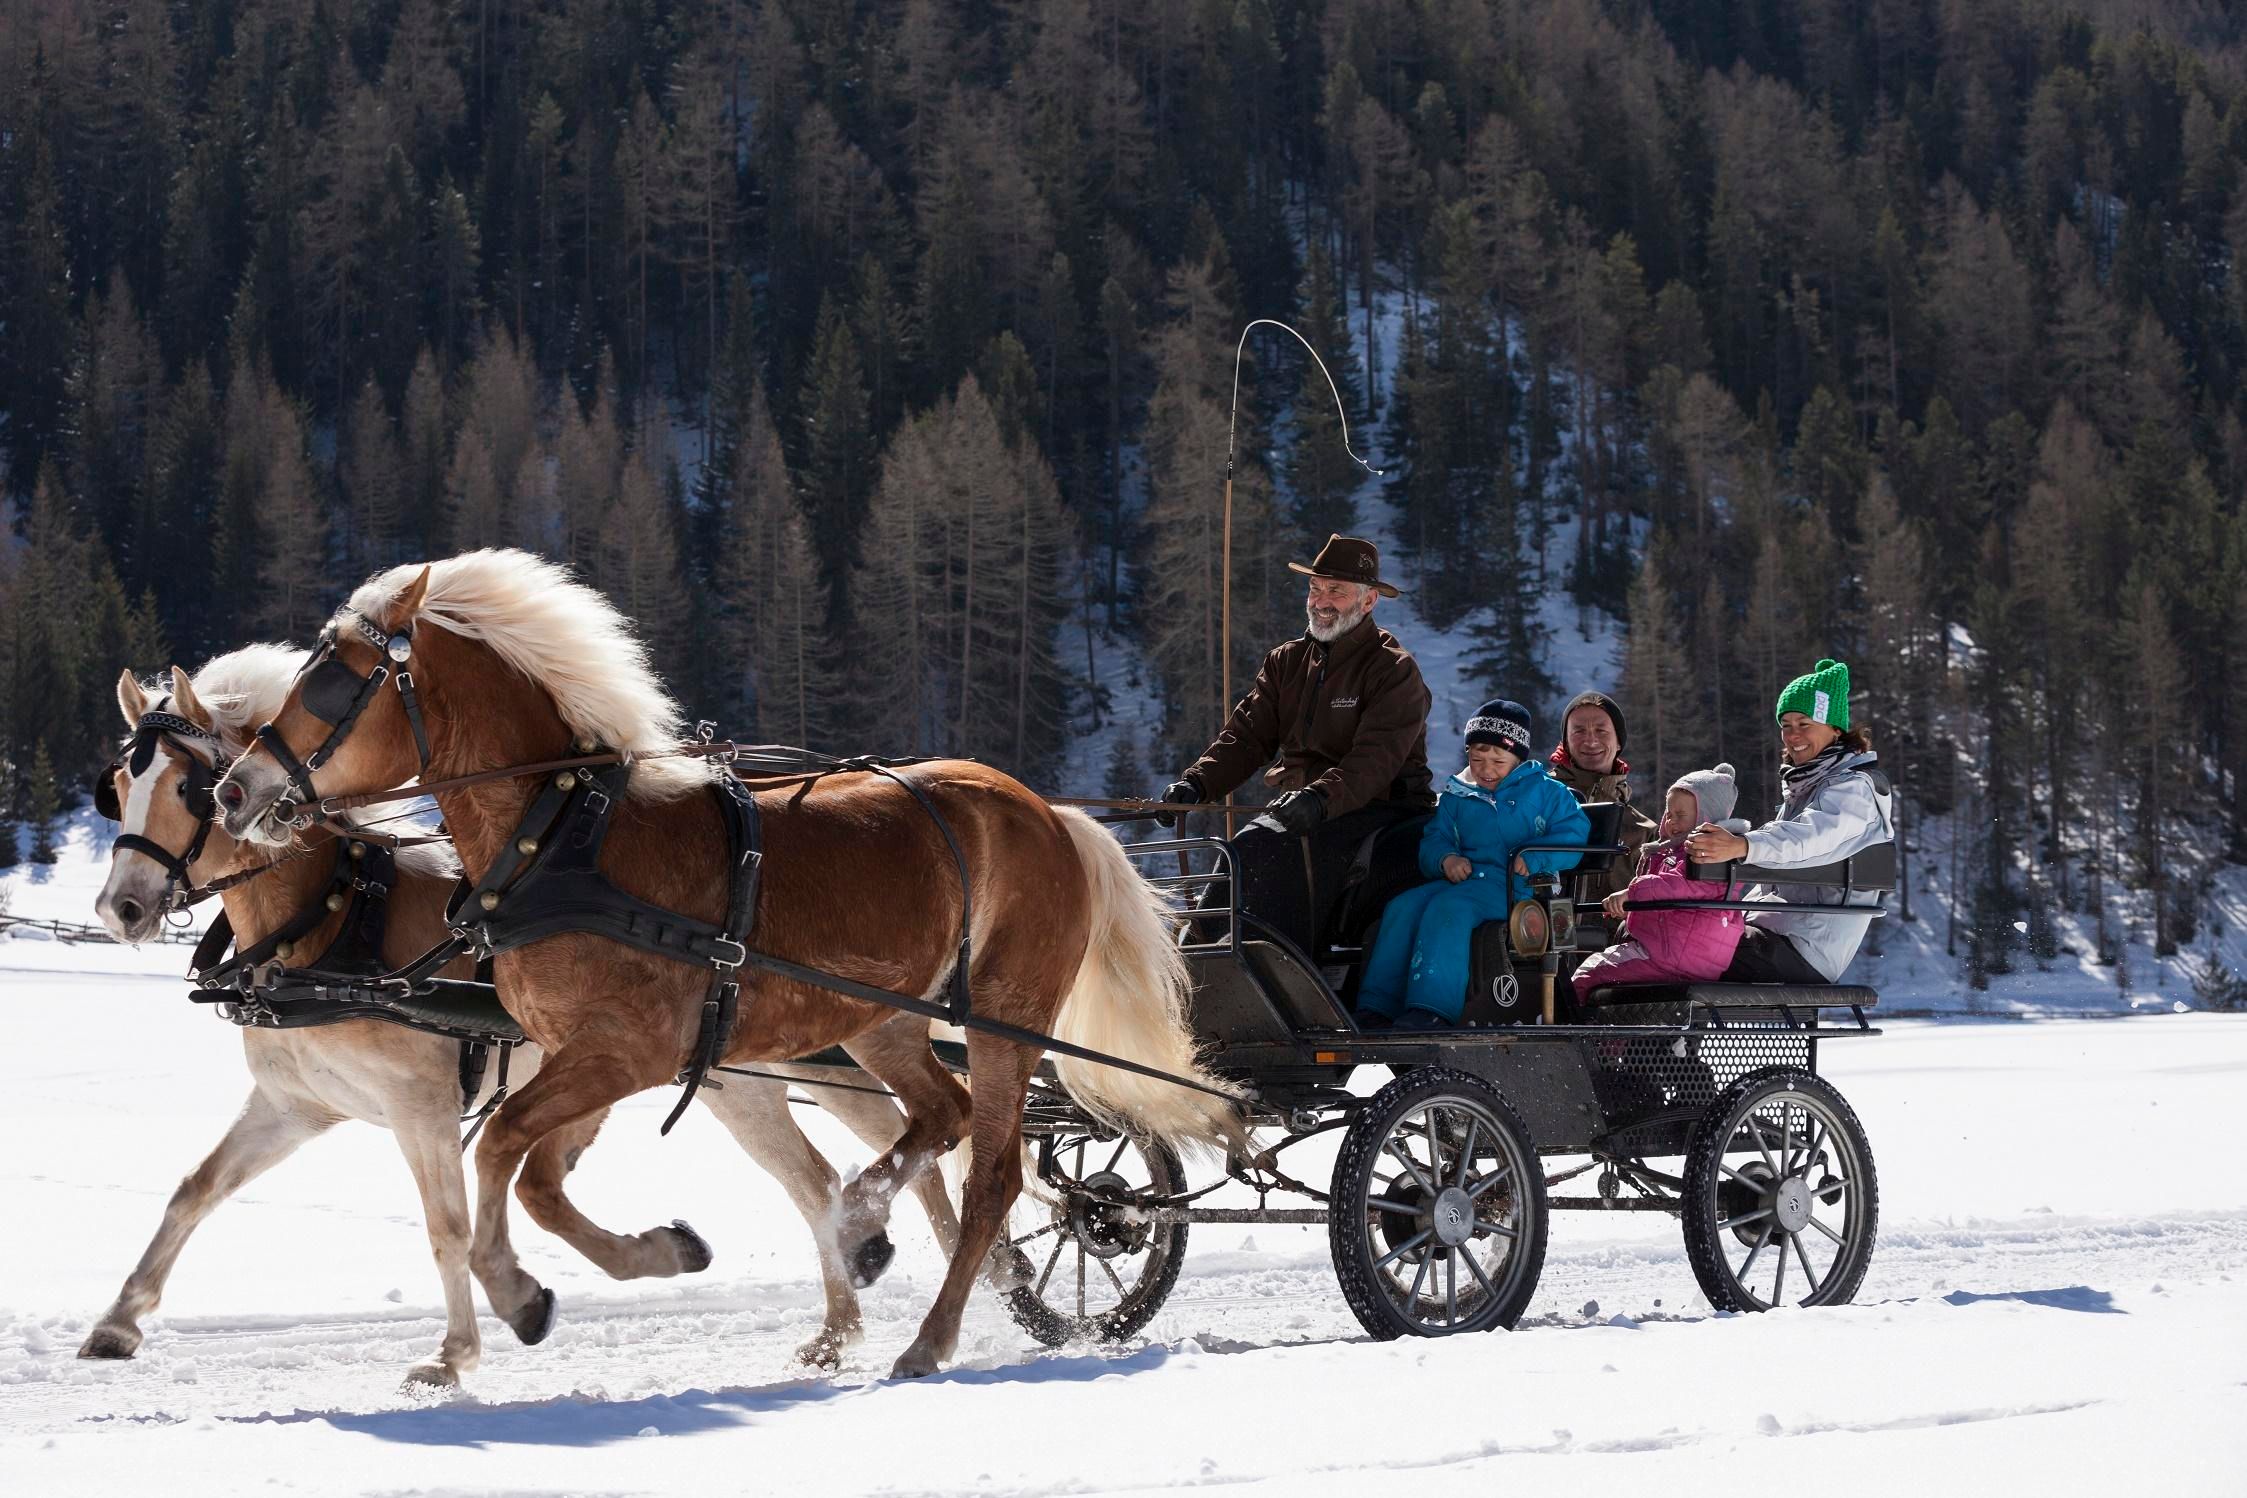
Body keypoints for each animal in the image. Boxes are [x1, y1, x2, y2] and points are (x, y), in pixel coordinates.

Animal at [92, 644, 977, 1384]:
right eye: (119, 789)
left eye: (188, 789)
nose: (121, 907)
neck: (336, 918)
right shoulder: (296, 1105)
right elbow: (196, 1190)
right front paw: (119, 1321)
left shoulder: (422, 1106)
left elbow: (448, 1225)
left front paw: (455, 1353)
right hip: (741, 1082)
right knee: (821, 1179)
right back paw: (854, 1312)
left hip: (828, 1062)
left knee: (930, 1151)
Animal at [213, 548, 1242, 1378]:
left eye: (332, 681)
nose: (236, 790)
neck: (564, 837)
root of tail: (1049, 811)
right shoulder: (589, 1059)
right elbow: (538, 1177)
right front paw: (654, 1254)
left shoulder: (625, 1053)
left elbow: (505, 1150)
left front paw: (514, 1293)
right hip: (885, 1020)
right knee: (937, 1120)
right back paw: (867, 1230)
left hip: (1003, 1019)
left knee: (991, 1174)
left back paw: (917, 1321)